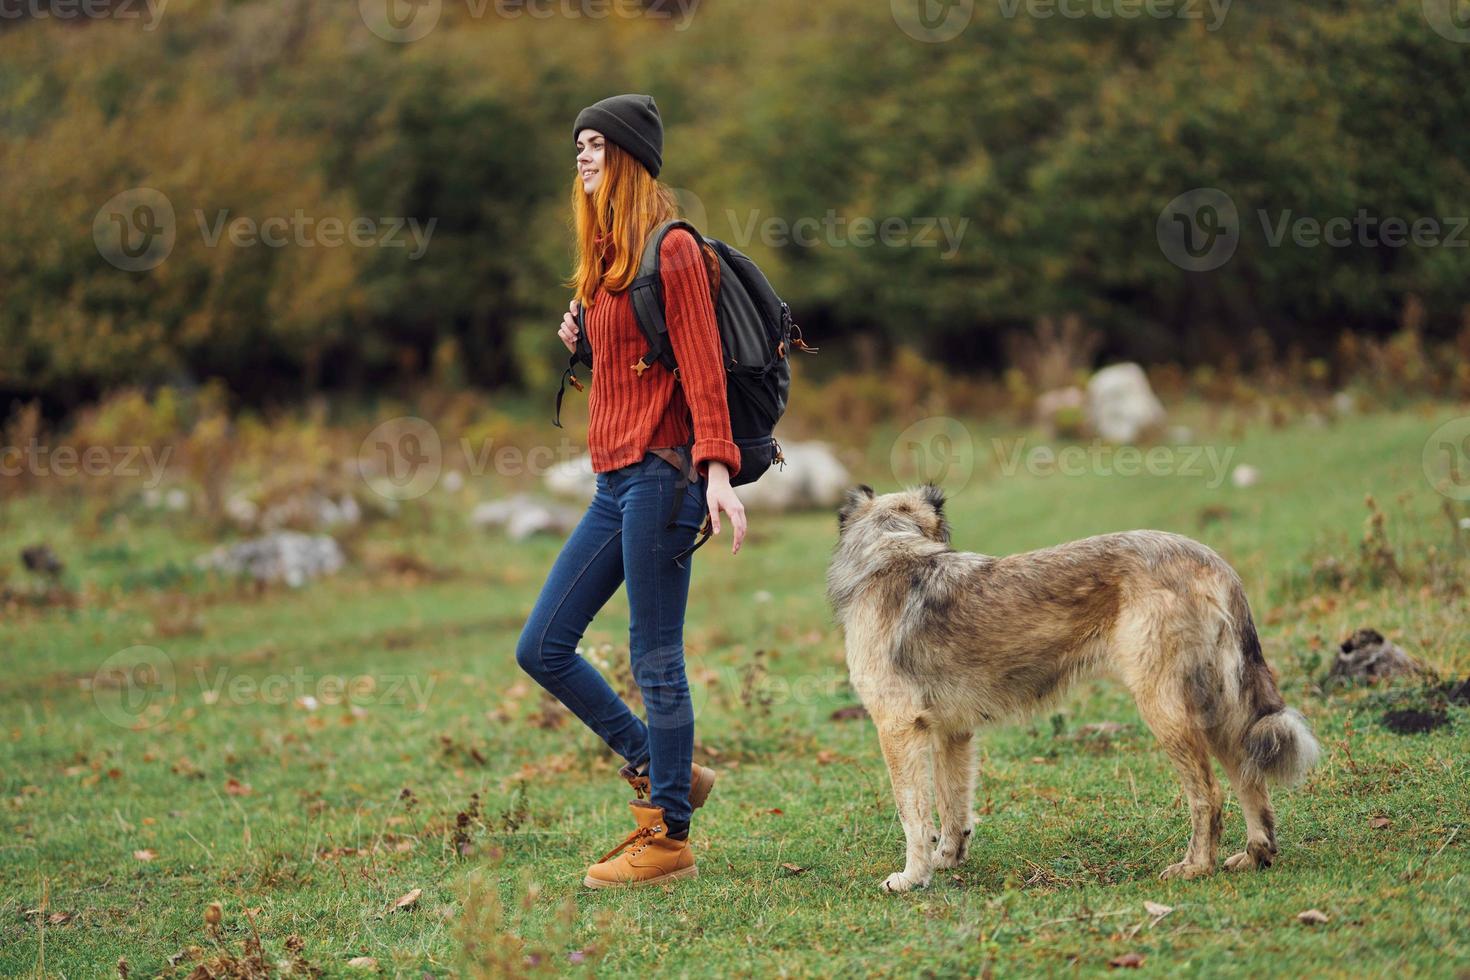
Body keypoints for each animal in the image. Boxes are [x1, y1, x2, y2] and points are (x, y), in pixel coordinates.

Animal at [829, 487, 1323, 893]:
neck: (892, 551)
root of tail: (1212, 561)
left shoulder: (898, 728)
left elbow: (912, 814)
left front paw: (912, 877)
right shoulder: (954, 734)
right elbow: (953, 807)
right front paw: (946, 861)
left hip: (1165, 710)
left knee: (1209, 794)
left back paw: (1195, 867)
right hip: (1218, 707)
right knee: (1249, 779)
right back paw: (1256, 855)